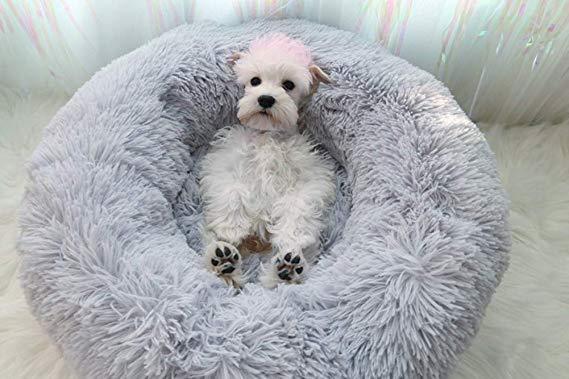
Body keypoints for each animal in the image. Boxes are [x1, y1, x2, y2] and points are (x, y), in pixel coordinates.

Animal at [200, 34, 336, 290]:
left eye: (288, 85)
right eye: (255, 81)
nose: (265, 99)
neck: (268, 135)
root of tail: (256, 245)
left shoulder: (309, 177)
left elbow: (296, 204)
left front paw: (291, 236)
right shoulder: (225, 164)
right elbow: (233, 191)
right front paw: (232, 228)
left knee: (278, 279)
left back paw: (287, 268)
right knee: (215, 250)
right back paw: (223, 259)